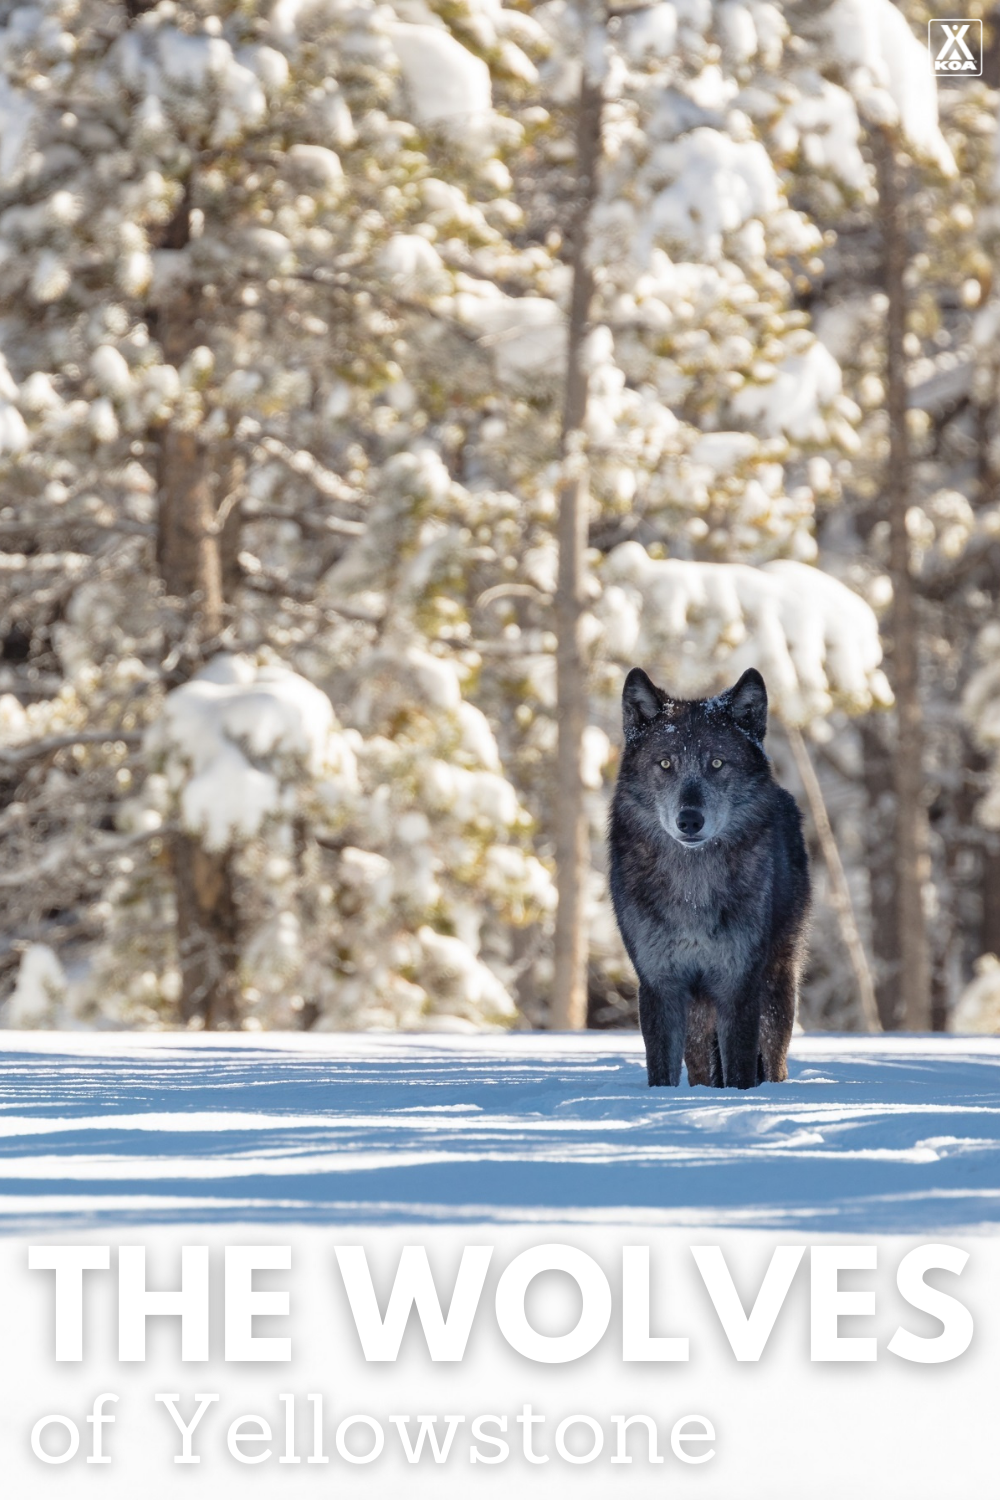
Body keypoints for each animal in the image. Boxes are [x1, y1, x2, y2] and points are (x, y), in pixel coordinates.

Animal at [605, 669, 809, 1092]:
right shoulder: (661, 985)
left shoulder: (738, 985)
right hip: (699, 1016)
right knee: (701, 1069)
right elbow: (661, 1073)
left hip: (776, 988)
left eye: (716, 762)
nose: (689, 820)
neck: (693, 891)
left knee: (775, 1061)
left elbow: (740, 1071)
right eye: (665, 763)